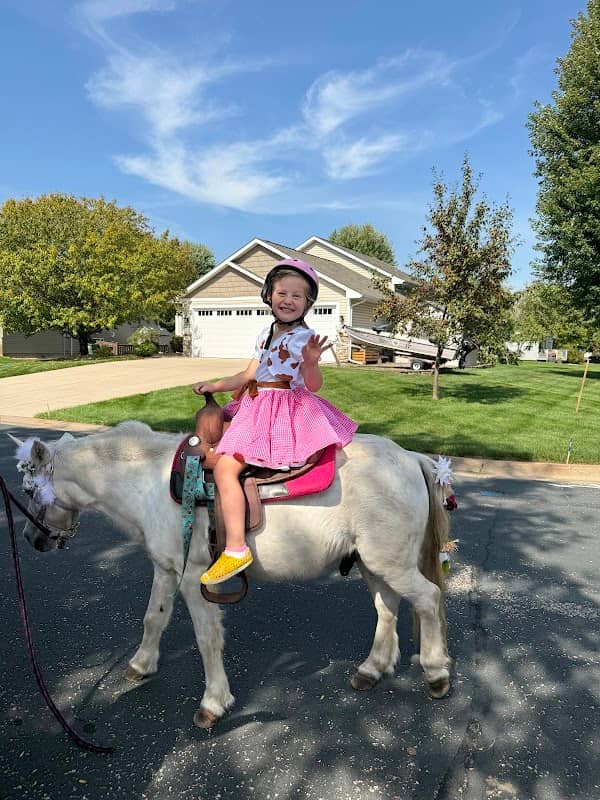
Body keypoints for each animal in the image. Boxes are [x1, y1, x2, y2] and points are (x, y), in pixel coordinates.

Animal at [11, 422, 452, 729]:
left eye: (30, 490)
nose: (33, 539)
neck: (148, 483)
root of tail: (412, 458)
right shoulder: (166, 568)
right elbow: (153, 618)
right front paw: (140, 665)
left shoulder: (194, 580)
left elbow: (207, 639)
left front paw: (212, 703)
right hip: (374, 563)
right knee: (388, 607)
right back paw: (371, 669)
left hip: (389, 563)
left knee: (428, 599)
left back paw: (436, 673)